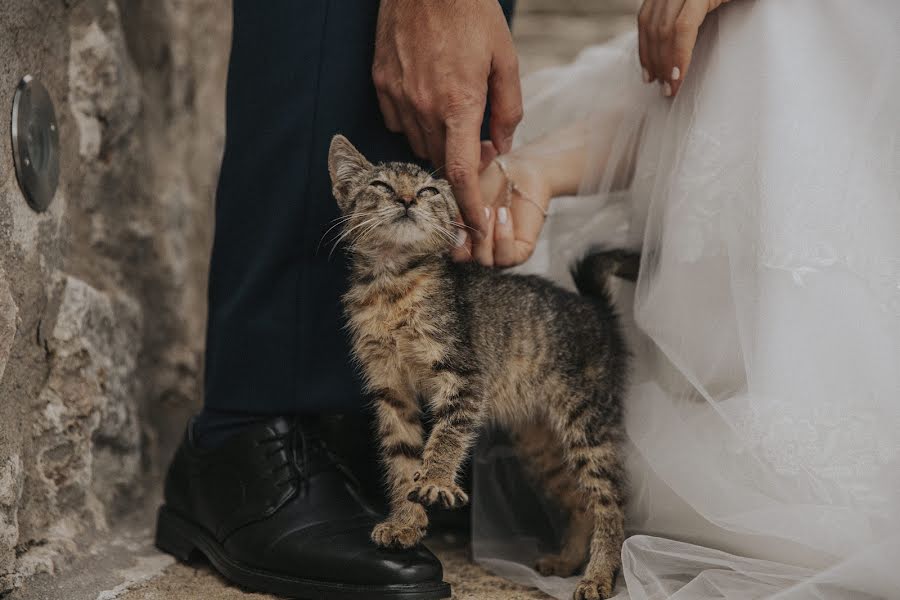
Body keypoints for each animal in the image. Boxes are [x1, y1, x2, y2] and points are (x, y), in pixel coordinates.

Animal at [326, 136, 628, 600]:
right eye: (381, 185)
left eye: (428, 191)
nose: (408, 199)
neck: (391, 284)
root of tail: (595, 308)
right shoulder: (389, 388)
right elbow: (401, 457)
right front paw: (406, 524)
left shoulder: (465, 376)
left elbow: (446, 435)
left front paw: (435, 481)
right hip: (540, 444)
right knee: (580, 502)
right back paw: (568, 560)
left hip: (588, 422)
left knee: (611, 505)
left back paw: (597, 576)